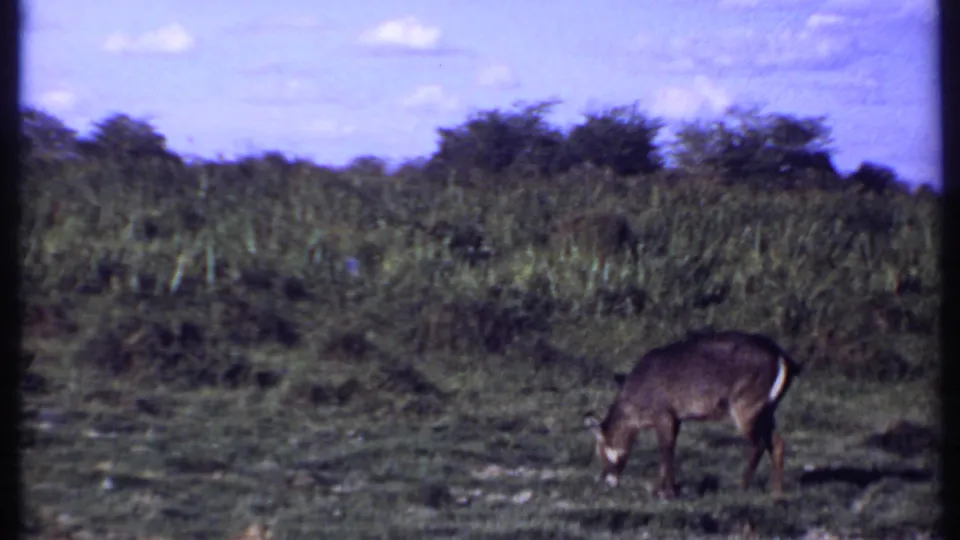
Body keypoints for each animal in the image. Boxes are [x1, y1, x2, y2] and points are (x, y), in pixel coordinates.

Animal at [584, 330, 802, 499]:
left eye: (600, 451)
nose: (609, 481)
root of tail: (781, 355)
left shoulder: (663, 416)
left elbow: (666, 452)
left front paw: (665, 491)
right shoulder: (676, 419)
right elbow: (669, 450)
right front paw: (663, 488)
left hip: (745, 410)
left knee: (760, 444)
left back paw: (742, 486)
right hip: (766, 412)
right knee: (777, 443)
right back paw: (777, 491)